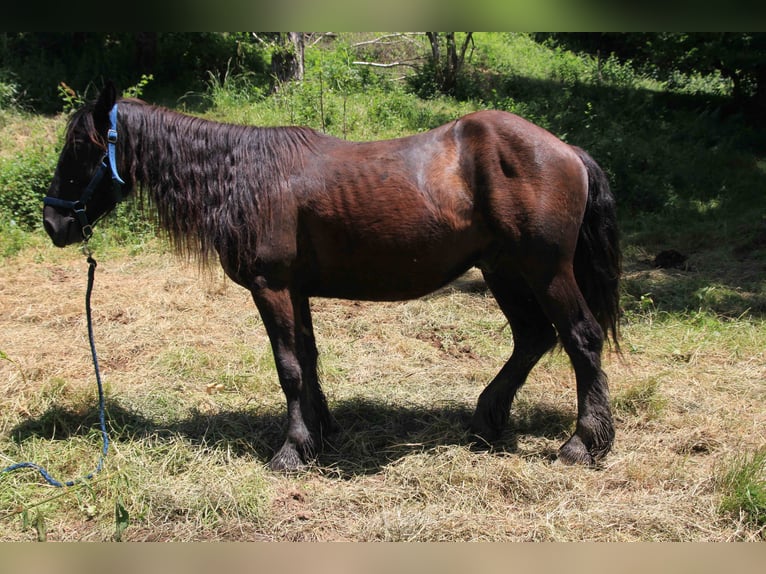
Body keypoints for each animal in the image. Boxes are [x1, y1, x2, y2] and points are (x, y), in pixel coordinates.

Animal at [43, 83, 621, 472]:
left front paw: (291, 451)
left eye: (81, 148)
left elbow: (289, 368)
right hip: (504, 270)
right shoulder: (295, 291)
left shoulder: (272, 288)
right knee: (532, 339)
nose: (54, 223)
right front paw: (319, 435)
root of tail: (567, 151)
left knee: (581, 338)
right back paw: (487, 420)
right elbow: (308, 359)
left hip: (544, 271)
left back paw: (582, 443)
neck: (244, 176)